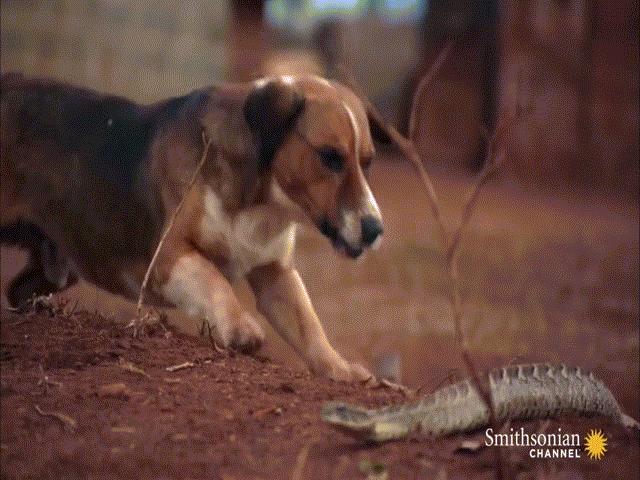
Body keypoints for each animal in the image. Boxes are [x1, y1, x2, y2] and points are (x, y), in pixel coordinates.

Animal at [0, 72, 388, 378]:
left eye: (368, 161)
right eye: (330, 157)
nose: (374, 230)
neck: (260, 205)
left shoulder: (275, 273)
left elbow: (308, 324)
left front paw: (338, 368)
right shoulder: (169, 257)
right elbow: (213, 278)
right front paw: (239, 327)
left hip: (60, 269)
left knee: (18, 291)